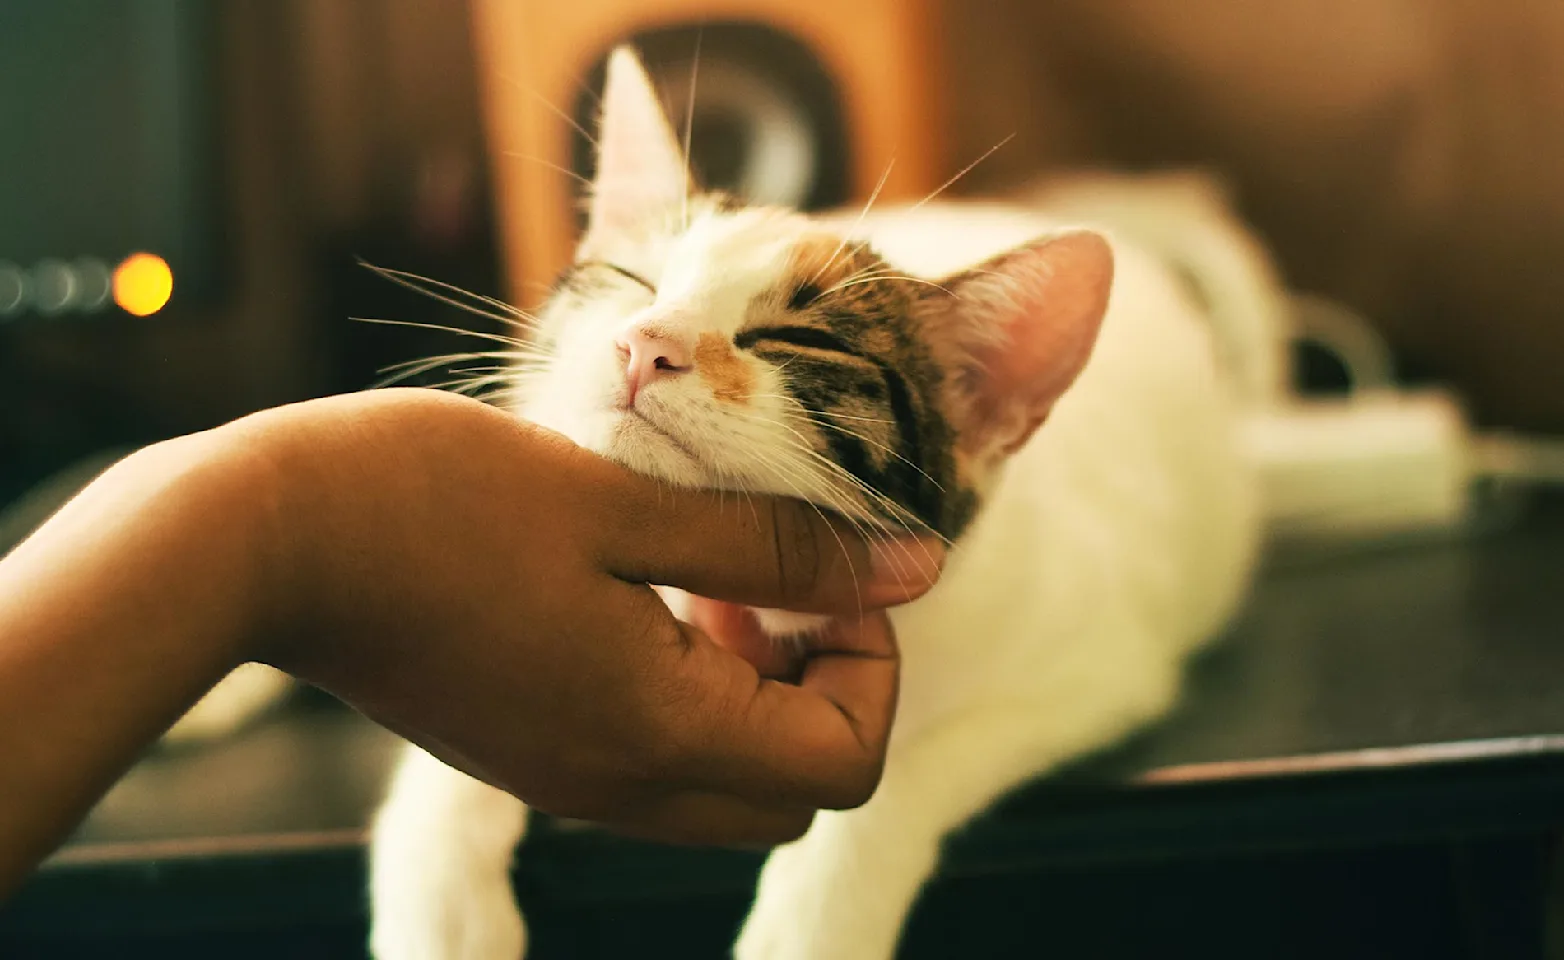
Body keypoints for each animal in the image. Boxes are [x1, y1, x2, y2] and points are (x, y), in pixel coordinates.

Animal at [365, 47, 1269, 960]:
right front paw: (436, 900)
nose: (644, 342)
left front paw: (810, 923)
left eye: (796, 340)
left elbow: (899, 778)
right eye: (632, 281)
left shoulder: (1096, 669)